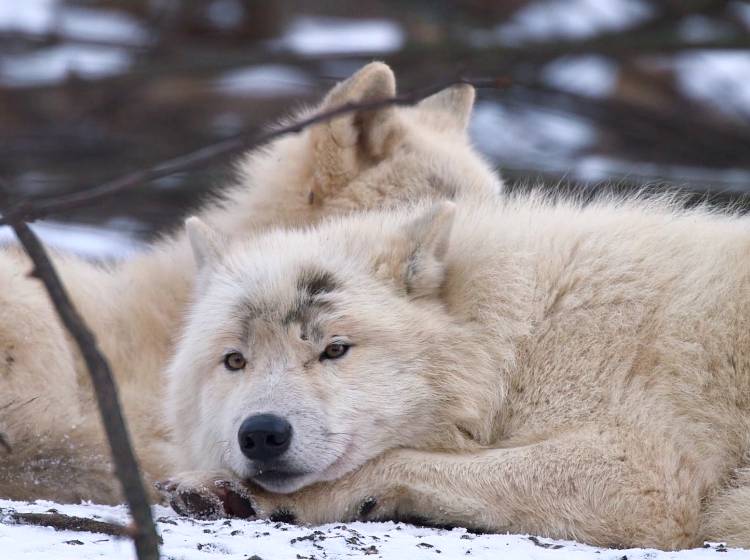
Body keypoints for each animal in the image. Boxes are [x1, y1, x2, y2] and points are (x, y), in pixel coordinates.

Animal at [163, 194, 750, 552]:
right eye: (235, 361)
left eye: (335, 350)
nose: (262, 433)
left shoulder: (643, 473)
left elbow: (390, 462)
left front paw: (250, 496)